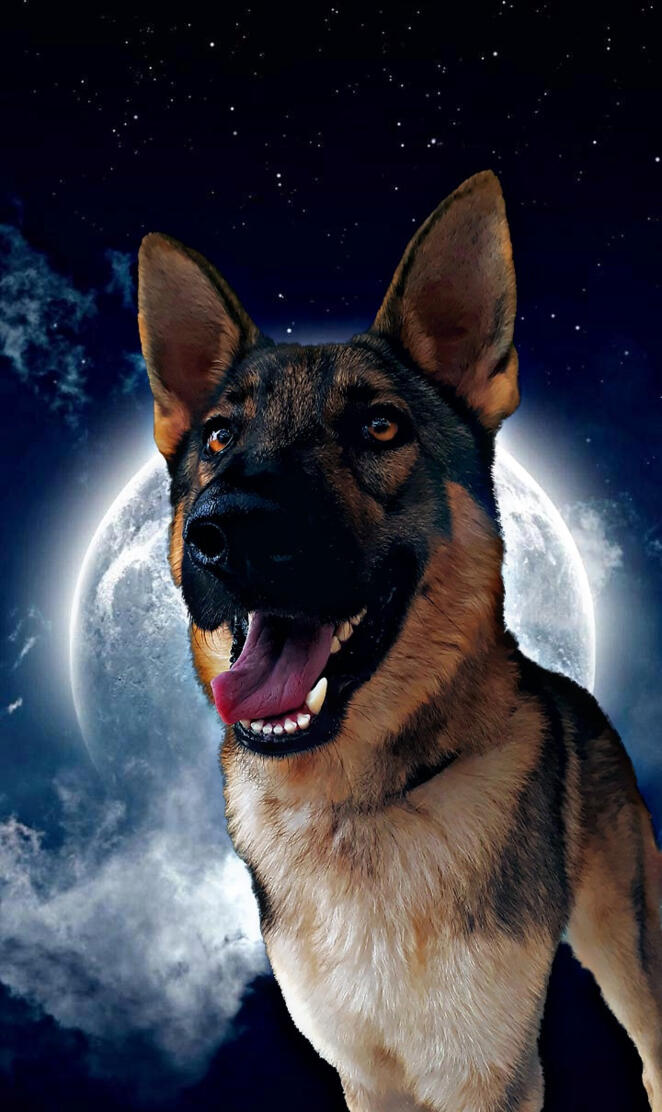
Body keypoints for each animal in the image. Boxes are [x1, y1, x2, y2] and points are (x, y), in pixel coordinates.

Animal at [137, 170, 662, 1111]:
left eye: (380, 427)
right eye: (220, 438)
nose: (220, 533)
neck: (357, 806)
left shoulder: (489, 1075)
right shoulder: (364, 1074)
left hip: (631, 951)